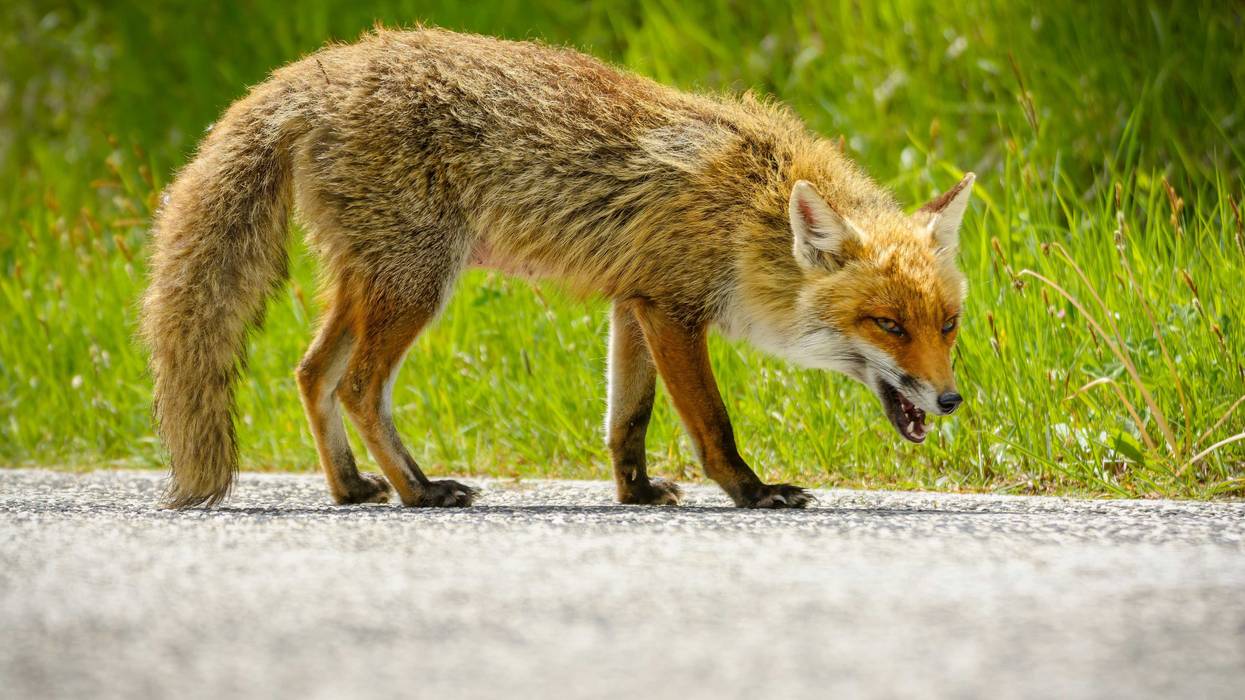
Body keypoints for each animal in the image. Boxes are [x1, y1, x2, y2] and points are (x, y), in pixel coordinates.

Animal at [141, 27, 974, 510]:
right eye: (886, 324)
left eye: (947, 325)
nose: (949, 399)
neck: (748, 213)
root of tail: (324, 68)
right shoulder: (674, 310)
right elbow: (710, 420)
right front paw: (750, 491)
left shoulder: (634, 304)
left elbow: (626, 419)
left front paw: (634, 493)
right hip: (416, 284)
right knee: (356, 386)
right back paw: (418, 491)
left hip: (372, 280)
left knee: (312, 374)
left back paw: (350, 489)